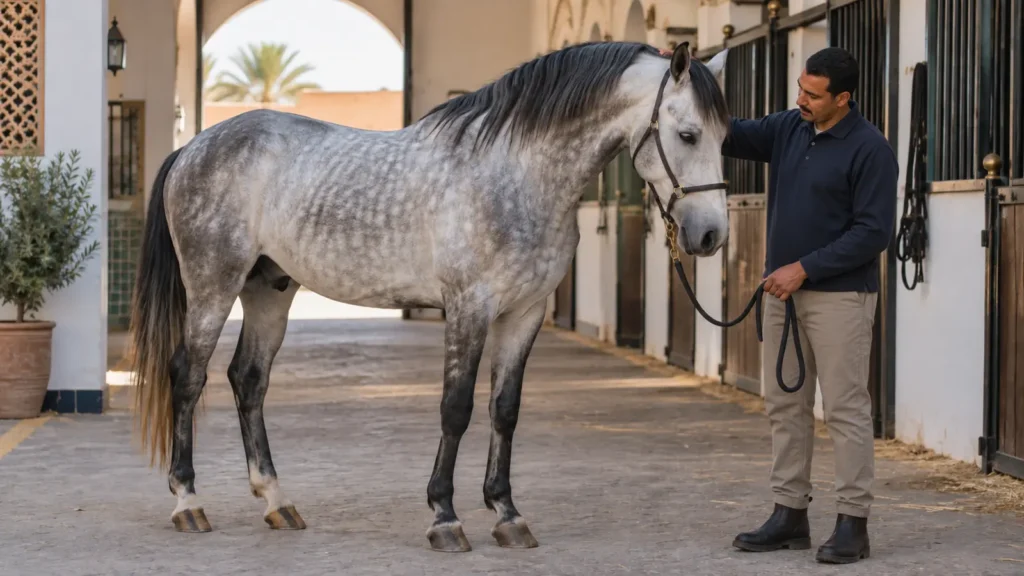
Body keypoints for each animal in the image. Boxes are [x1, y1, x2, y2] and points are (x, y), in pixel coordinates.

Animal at [127, 40, 732, 552]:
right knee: (188, 376)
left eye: (726, 136)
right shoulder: (468, 307)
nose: (710, 236)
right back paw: (188, 503)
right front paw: (445, 517)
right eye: (687, 135)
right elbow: (456, 408)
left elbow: (504, 410)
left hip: (269, 290)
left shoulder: (525, 313)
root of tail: (194, 147)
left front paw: (508, 515)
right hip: (213, 284)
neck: (514, 175)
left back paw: (278, 502)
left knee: (248, 380)